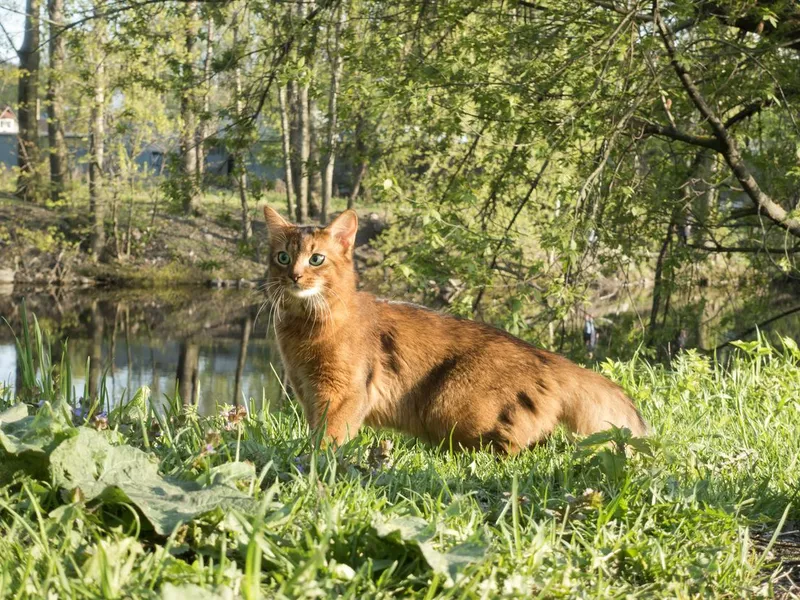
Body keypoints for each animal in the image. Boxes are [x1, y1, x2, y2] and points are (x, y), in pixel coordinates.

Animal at [262, 207, 648, 454]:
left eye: (316, 259)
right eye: (282, 257)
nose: (294, 276)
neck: (303, 327)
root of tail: (549, 357)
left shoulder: (343, 393)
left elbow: (329, 441)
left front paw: (314, 461)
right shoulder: (308, 393)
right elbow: (316, 433)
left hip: (449, 404)